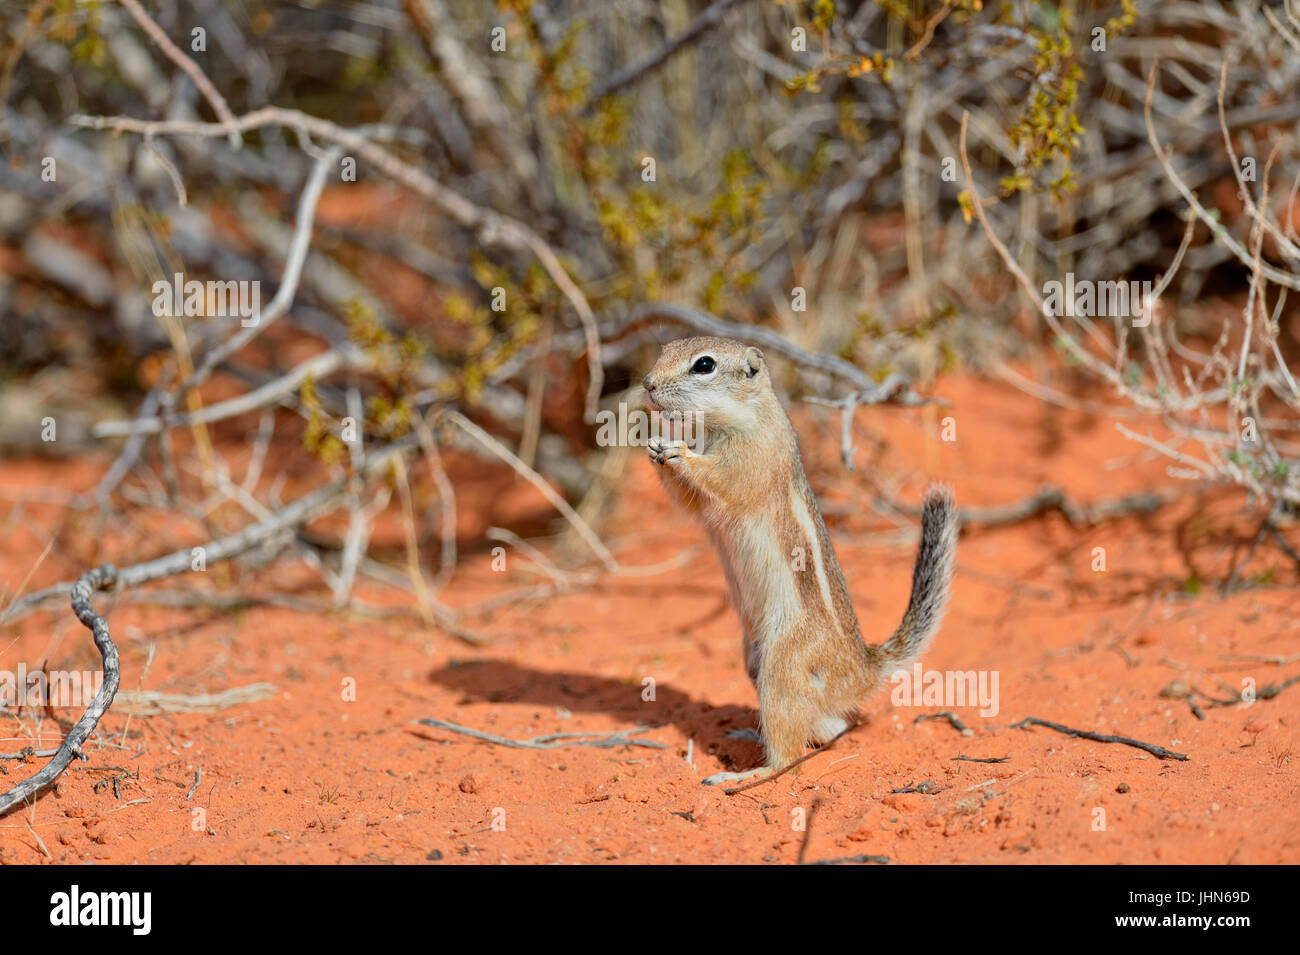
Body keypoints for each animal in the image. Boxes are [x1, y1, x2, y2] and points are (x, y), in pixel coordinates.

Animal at [642, 336, 958, 786]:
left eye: (704, 365)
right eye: (666, 348)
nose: (648, 385)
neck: (740, 417)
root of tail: (860, 669)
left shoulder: (753, 460)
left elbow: (724, 480)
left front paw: (677, 450)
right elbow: (692, 503)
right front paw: (653, 443)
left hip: (783, 664)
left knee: (790, 752)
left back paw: (744, 775)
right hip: (756, 661)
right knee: (829, 727)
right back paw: (750, 734)